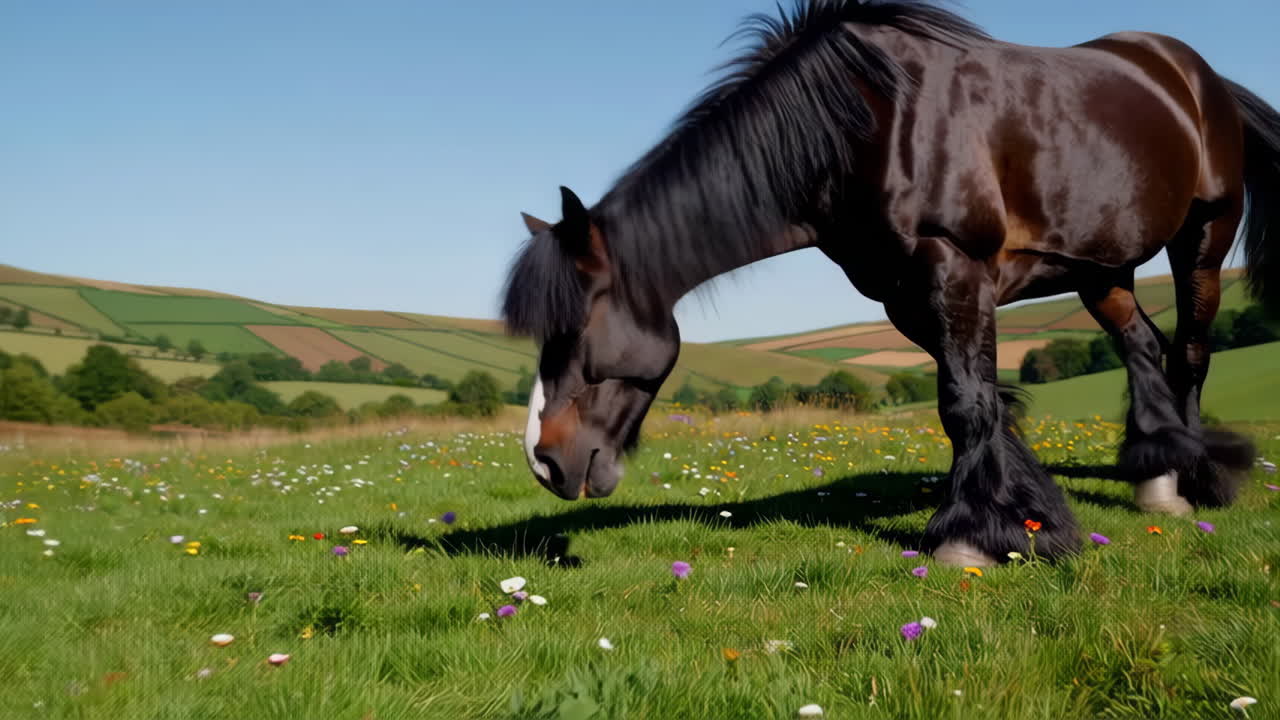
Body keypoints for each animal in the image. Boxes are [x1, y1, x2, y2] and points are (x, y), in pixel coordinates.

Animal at [500, 0, 1279, 567]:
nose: (543, 462)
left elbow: (966, 403)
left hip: (1202, 238)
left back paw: (1201, 478)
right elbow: (981, 398)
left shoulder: (953, 267)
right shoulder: (906, 293)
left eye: (574, 327)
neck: (869, 124)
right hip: (1100, 268)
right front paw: (1027, 514)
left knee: (1189, 354)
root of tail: (1193, 74)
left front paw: (969, 537)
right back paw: (1157, 476)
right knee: (1142, 346)